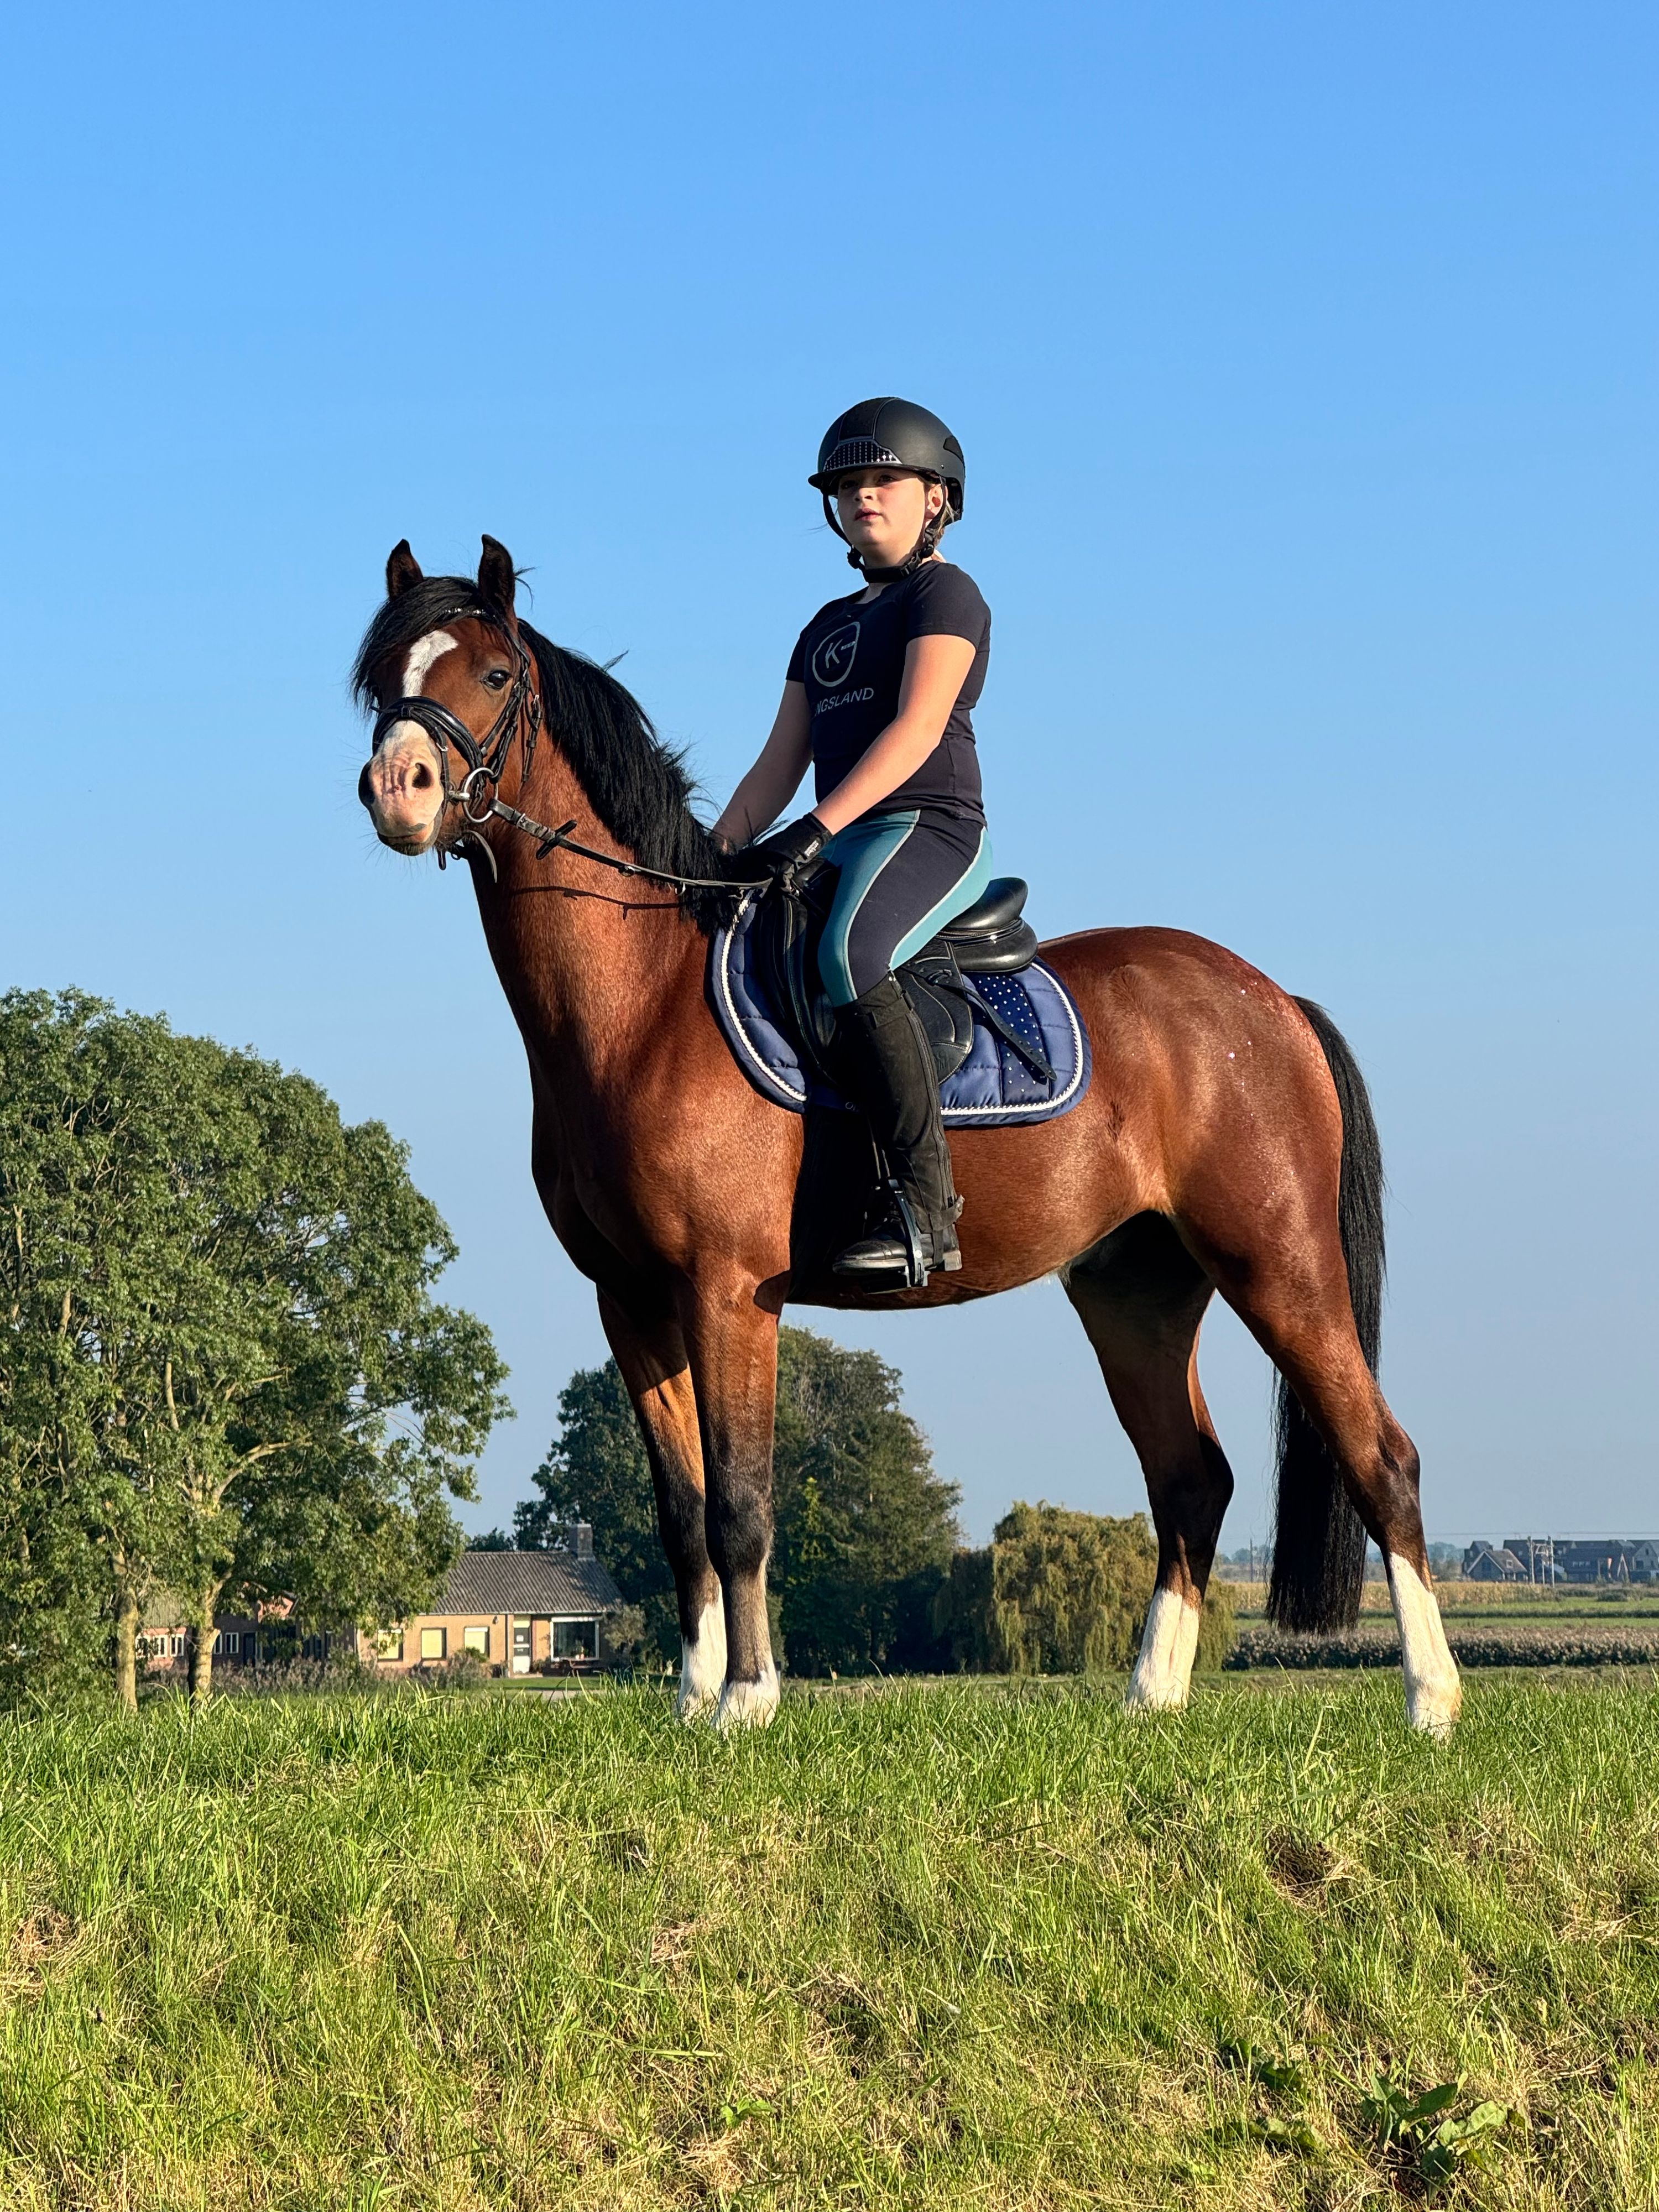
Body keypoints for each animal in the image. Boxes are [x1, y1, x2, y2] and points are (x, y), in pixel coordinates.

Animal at [355, 536, 1462, 1736]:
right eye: (382, 680)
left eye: (494, 675)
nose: (396, 790)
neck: (640, 1003)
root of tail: (1272, 1001)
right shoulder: (633, 1298)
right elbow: (681, 1510)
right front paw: (692, 1701)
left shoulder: (726, 1288)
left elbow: (741, 1501)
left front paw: (746, 1700)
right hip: (1136, 1289)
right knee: (1191, 1479)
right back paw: (1149, 1699)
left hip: (1281, 1263)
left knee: (1382, 1457)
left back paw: (1431, 1702)